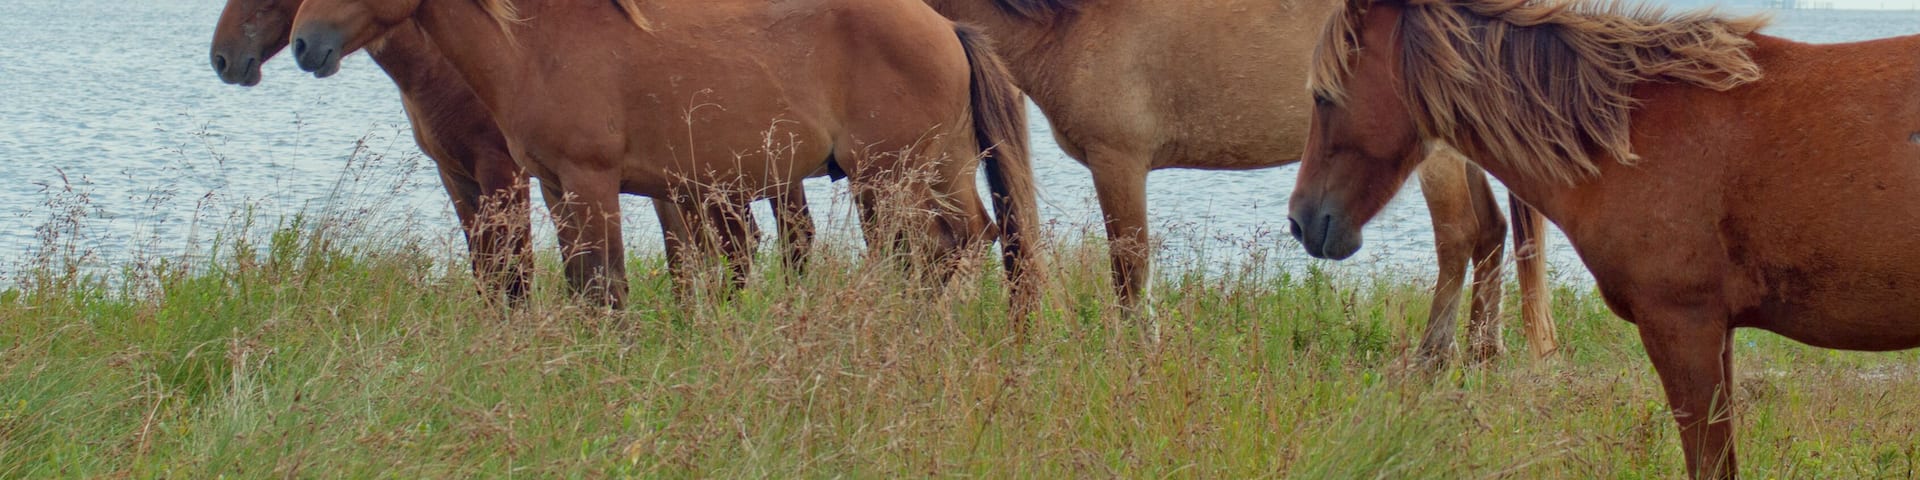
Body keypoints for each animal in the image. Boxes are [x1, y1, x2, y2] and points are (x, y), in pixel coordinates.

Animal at [208, 0, 825, 302]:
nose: (223, 58)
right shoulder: (459, 176)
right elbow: (488, 269)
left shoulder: (503, 173)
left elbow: (516, 269)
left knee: (769, 242)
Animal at [284, 0, 1042, 317]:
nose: (303, 44)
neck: (538, 42)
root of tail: (946, 27)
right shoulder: (556, 188)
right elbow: (581, 285)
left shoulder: (591, 183)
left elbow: (606, 286)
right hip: (931, 171)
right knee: (966, 238)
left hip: (892, 175)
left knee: (937, 248)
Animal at [920, 0, 1557, 361]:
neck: (1073, 23)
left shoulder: (1118, 162)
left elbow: (1129, 272)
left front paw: (1139, 361)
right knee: (1492, 233)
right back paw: (1482, 353)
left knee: (1460, 236)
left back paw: (1434, 359)